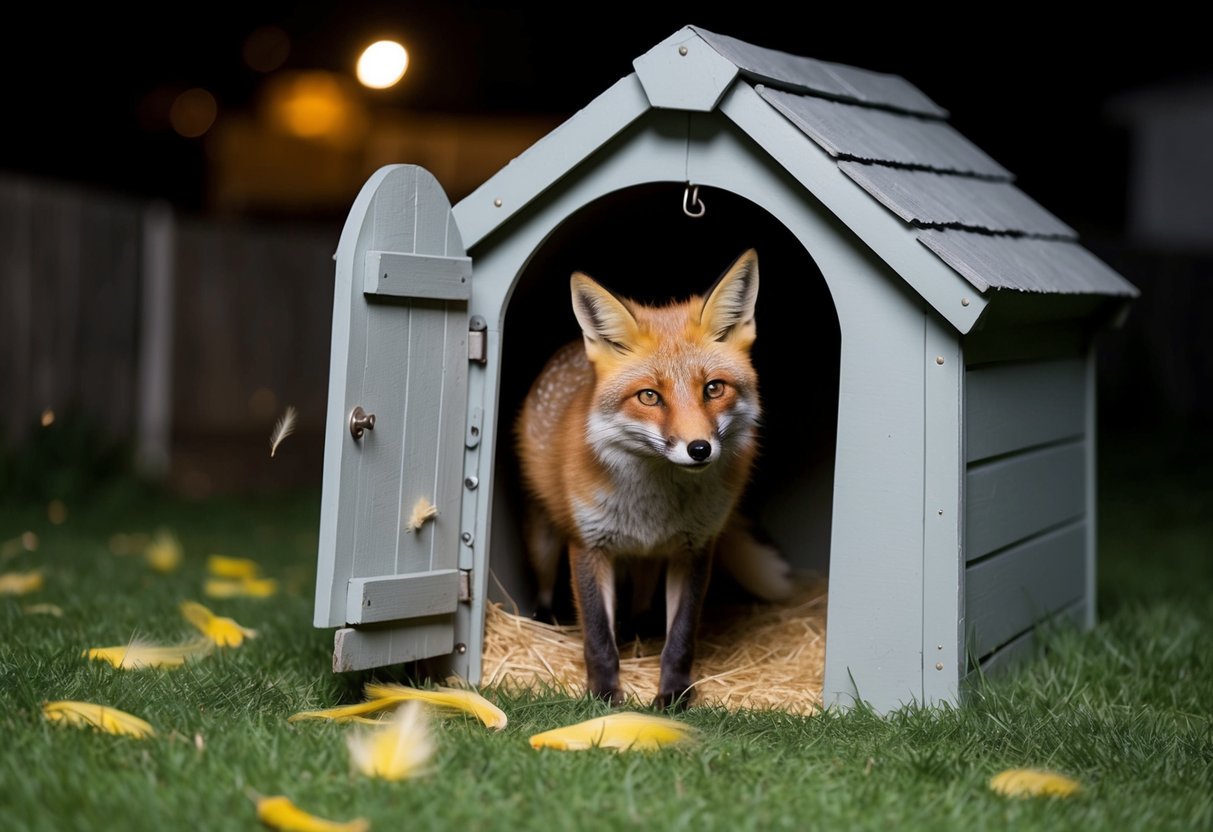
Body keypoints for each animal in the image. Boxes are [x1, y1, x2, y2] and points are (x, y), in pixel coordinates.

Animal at [514, 248, 792, 709]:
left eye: (713, 389)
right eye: (649, 396)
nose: (699, 449)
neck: (653, 506)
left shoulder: (695, 548)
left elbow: (681, 636)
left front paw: (675, 696)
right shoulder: (589, 546)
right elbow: (598, 636)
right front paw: (604, 698)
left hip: (651, 555)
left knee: (644, 585)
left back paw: (640, 624)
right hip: (543, 534)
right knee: (545, 579)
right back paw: (547, 614)